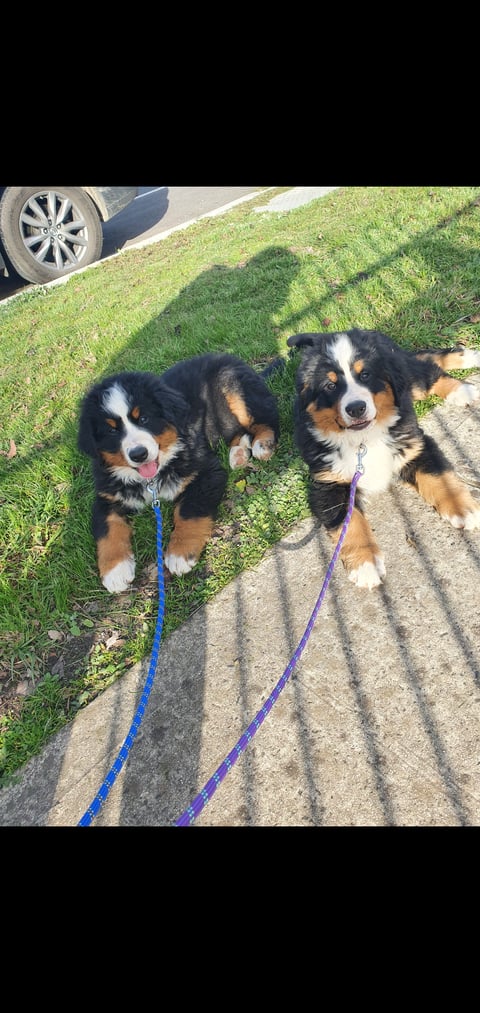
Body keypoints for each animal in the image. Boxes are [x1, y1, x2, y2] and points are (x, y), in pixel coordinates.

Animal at [77, 354, 281, 591]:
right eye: (111, 430)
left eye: (144, 419)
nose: (138, 454)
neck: (150, 480)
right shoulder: (106, 495)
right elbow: (108, 528)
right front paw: (115, 571)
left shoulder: (206, 472)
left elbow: (189, 511)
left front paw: (180, 553)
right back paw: (238, 453)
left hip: (234, 389)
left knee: (266, 418)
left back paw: (262, 444)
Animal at [287, 328, 477, 591]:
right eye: (330, 385)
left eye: (365, 375)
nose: (356, 408)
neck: (363, 441)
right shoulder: (328, 483)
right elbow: (349, 522)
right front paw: (365, 564)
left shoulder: (415, 446)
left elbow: (440, 478)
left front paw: (464, 510)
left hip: (406, 380)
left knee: (427, 369)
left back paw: (464, 383)